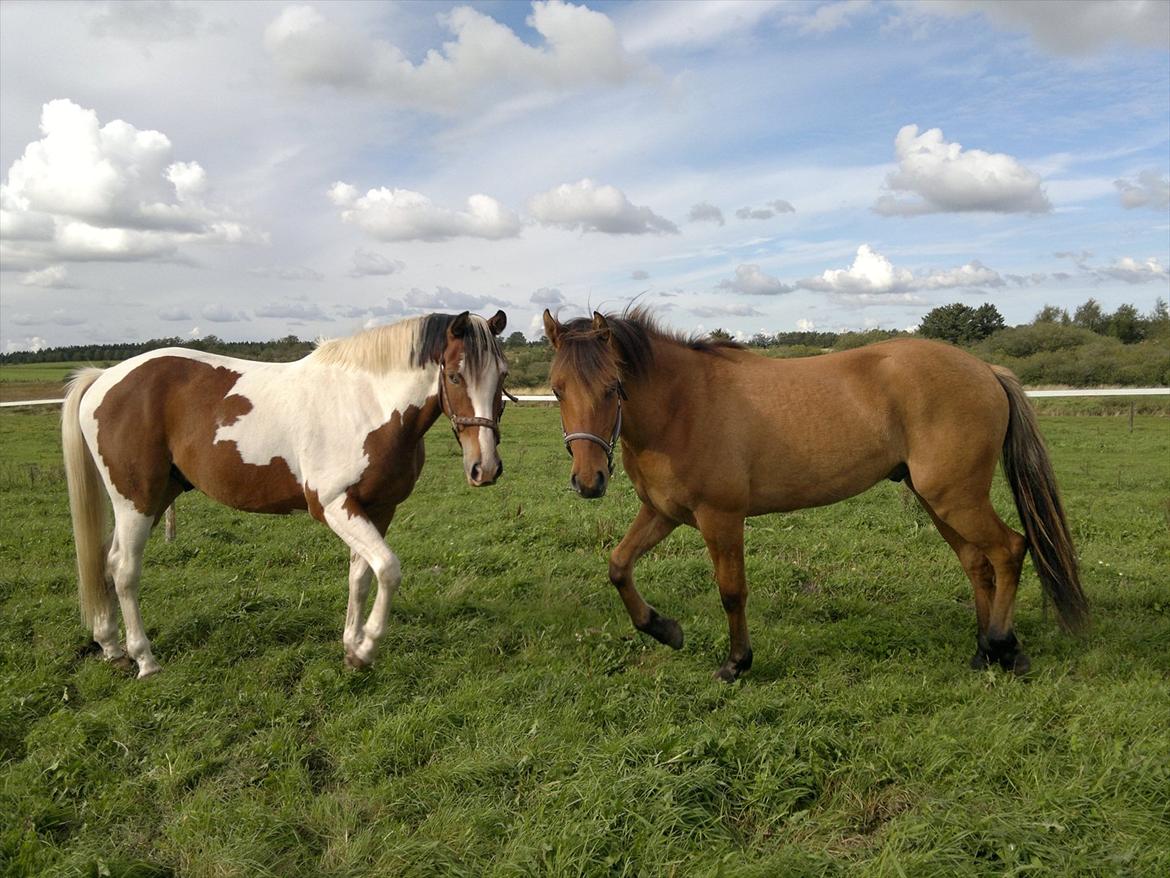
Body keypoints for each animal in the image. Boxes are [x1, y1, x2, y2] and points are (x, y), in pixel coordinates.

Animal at [62, 310, 509, 678]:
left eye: (502, 376)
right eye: (454, 376)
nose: (484, 468)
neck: (368, 404)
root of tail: (103, 378)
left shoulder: (378, 509)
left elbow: (361, 576)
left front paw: (351, 648)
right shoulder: (334, 505)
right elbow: (388, 569)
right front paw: (366, 649)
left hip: (154, 499)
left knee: (107, 561)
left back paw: (112, 648)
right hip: (135, 501)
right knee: (124, 569)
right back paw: (145, 660)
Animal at [542, 308, 1087, 682]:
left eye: (614, 386)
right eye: (556, 388)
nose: (588, 481)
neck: (683, 405)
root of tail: (986, 370)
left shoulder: (722, 518)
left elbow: (732, 591)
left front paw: (737, 663)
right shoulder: (662, 513)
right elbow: (618, 566)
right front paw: (664, 629)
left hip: (956, 497)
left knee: (1008, 549)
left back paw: (1003, 645)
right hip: (939, 500)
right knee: (978, 563)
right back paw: (983, 653)